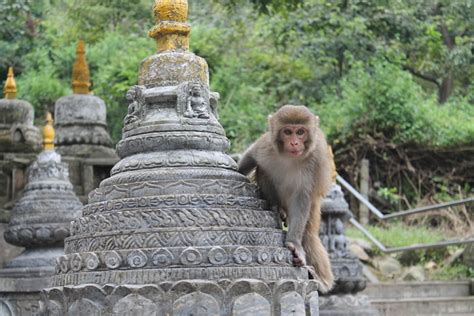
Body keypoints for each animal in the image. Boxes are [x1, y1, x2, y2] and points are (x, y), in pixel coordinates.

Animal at [237, 105, 334, 292]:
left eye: (301, 132)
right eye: (288, 132)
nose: (295, 142)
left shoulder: (314, 162)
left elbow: (302, 198)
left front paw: (294, 244)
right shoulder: (265, 147)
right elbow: (249, 159)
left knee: (309, 234)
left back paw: (320, 280)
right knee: (263, 170)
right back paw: (276, 207)